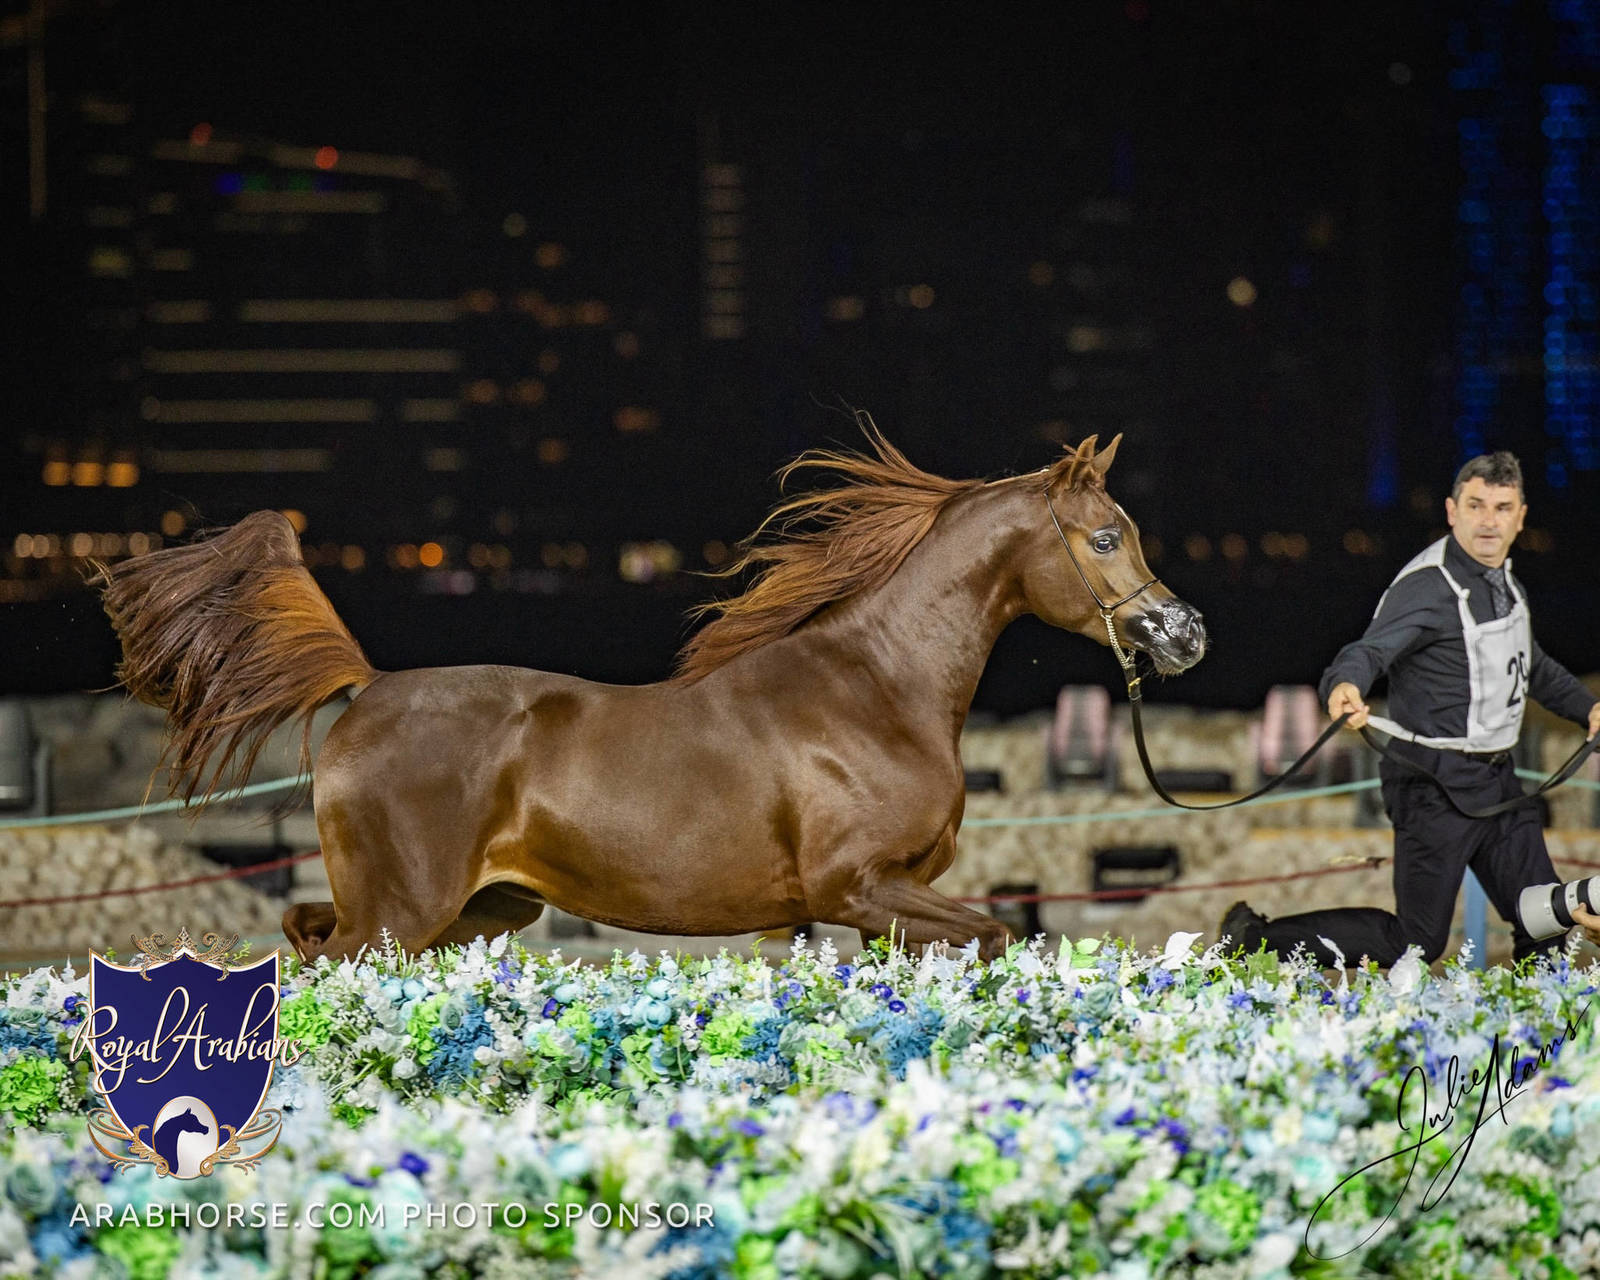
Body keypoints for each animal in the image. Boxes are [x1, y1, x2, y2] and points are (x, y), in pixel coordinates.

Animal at [95, 425, 1206, 963]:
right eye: (1105, 535)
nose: (1184, 633)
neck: (872, 692)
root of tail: (366, 690)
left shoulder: (876, 906)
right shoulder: (859, 886)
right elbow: (991, 934)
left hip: (476, 911)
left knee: (301, 930)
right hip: (402, 915)